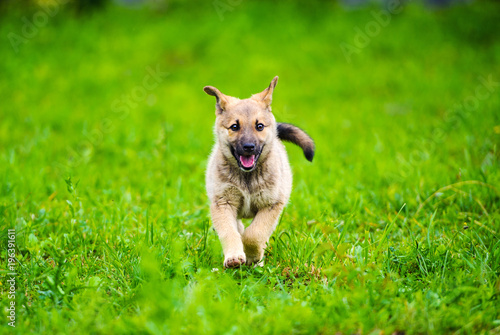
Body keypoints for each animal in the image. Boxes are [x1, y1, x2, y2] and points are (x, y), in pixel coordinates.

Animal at [202, 77, 312, 270]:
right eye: (234, 126)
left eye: (259, 126)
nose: (248, 147)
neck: (247, 177)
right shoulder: (222, 203)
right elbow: (230, 232)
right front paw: (234, 257)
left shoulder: (271, 205)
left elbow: (254, 234)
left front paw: (253, 256)